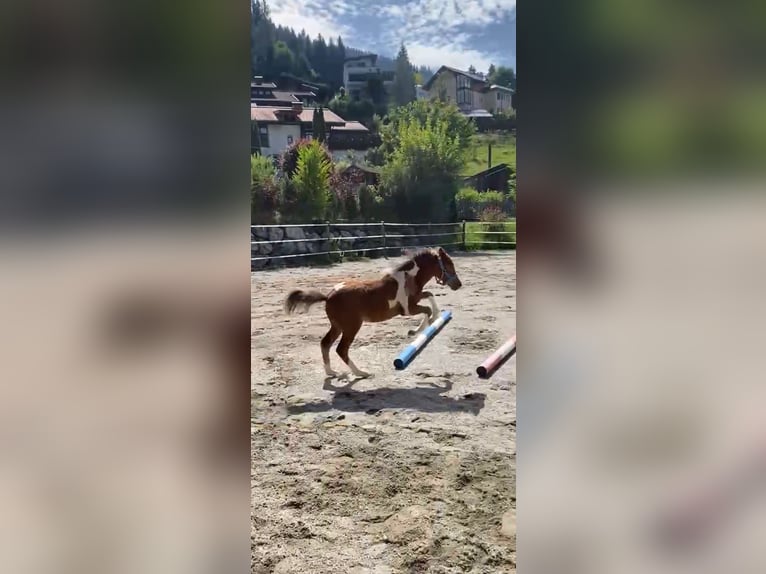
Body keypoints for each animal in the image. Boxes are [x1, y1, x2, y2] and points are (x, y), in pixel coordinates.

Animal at [284, 248, 460, 378]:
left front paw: (431, 319)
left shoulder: (416, 299)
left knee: (325, 343)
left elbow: (430, 295)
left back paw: (332, 372)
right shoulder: (408, 309)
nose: (458, 284)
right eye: (448, 264)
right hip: (351, 326)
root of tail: (328, 296)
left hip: (337, 326)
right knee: (341, 349)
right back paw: (361, 373)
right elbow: (427, 310)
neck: (408, 279)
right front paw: (418, 329)